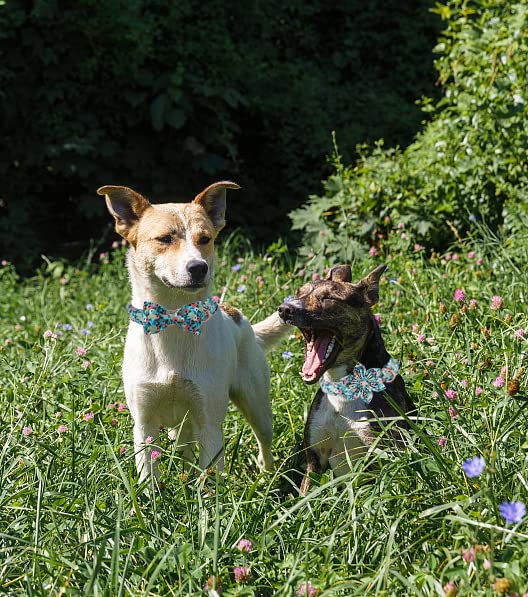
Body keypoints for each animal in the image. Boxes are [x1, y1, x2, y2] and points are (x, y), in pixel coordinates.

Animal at [97, 182, 286, 480]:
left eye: (205, 239)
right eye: (164, 239)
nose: (199, 268)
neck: (174, 318)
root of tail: (239, 318)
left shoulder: (209, 423)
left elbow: (209, 477)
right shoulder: (144, 423)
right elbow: (148, 476)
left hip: (256, 404)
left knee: (263, 439)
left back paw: (266, 475)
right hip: (179, 426)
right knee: (184, 447)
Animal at [278, 264, 414, 492]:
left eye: (328, 298)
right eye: (299, 293)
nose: (285, 309)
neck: (343, 390)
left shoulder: (385, 458)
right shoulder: (314, 463)